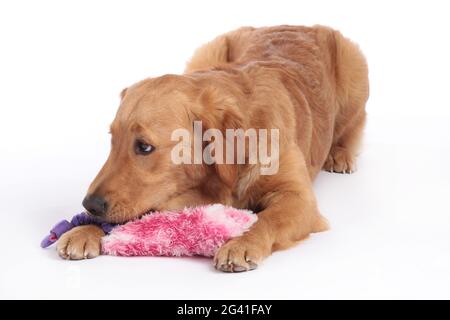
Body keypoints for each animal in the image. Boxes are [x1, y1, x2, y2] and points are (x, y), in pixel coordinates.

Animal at [56, 24, 368, 272]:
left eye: (144, 147)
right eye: (113, 140)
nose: (90, 205)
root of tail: (298, 24)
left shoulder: (299, 198)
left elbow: (266, 219)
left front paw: (241, 243)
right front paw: (85, 229)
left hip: (354, 66)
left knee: (353, 125)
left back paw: (340, 154)